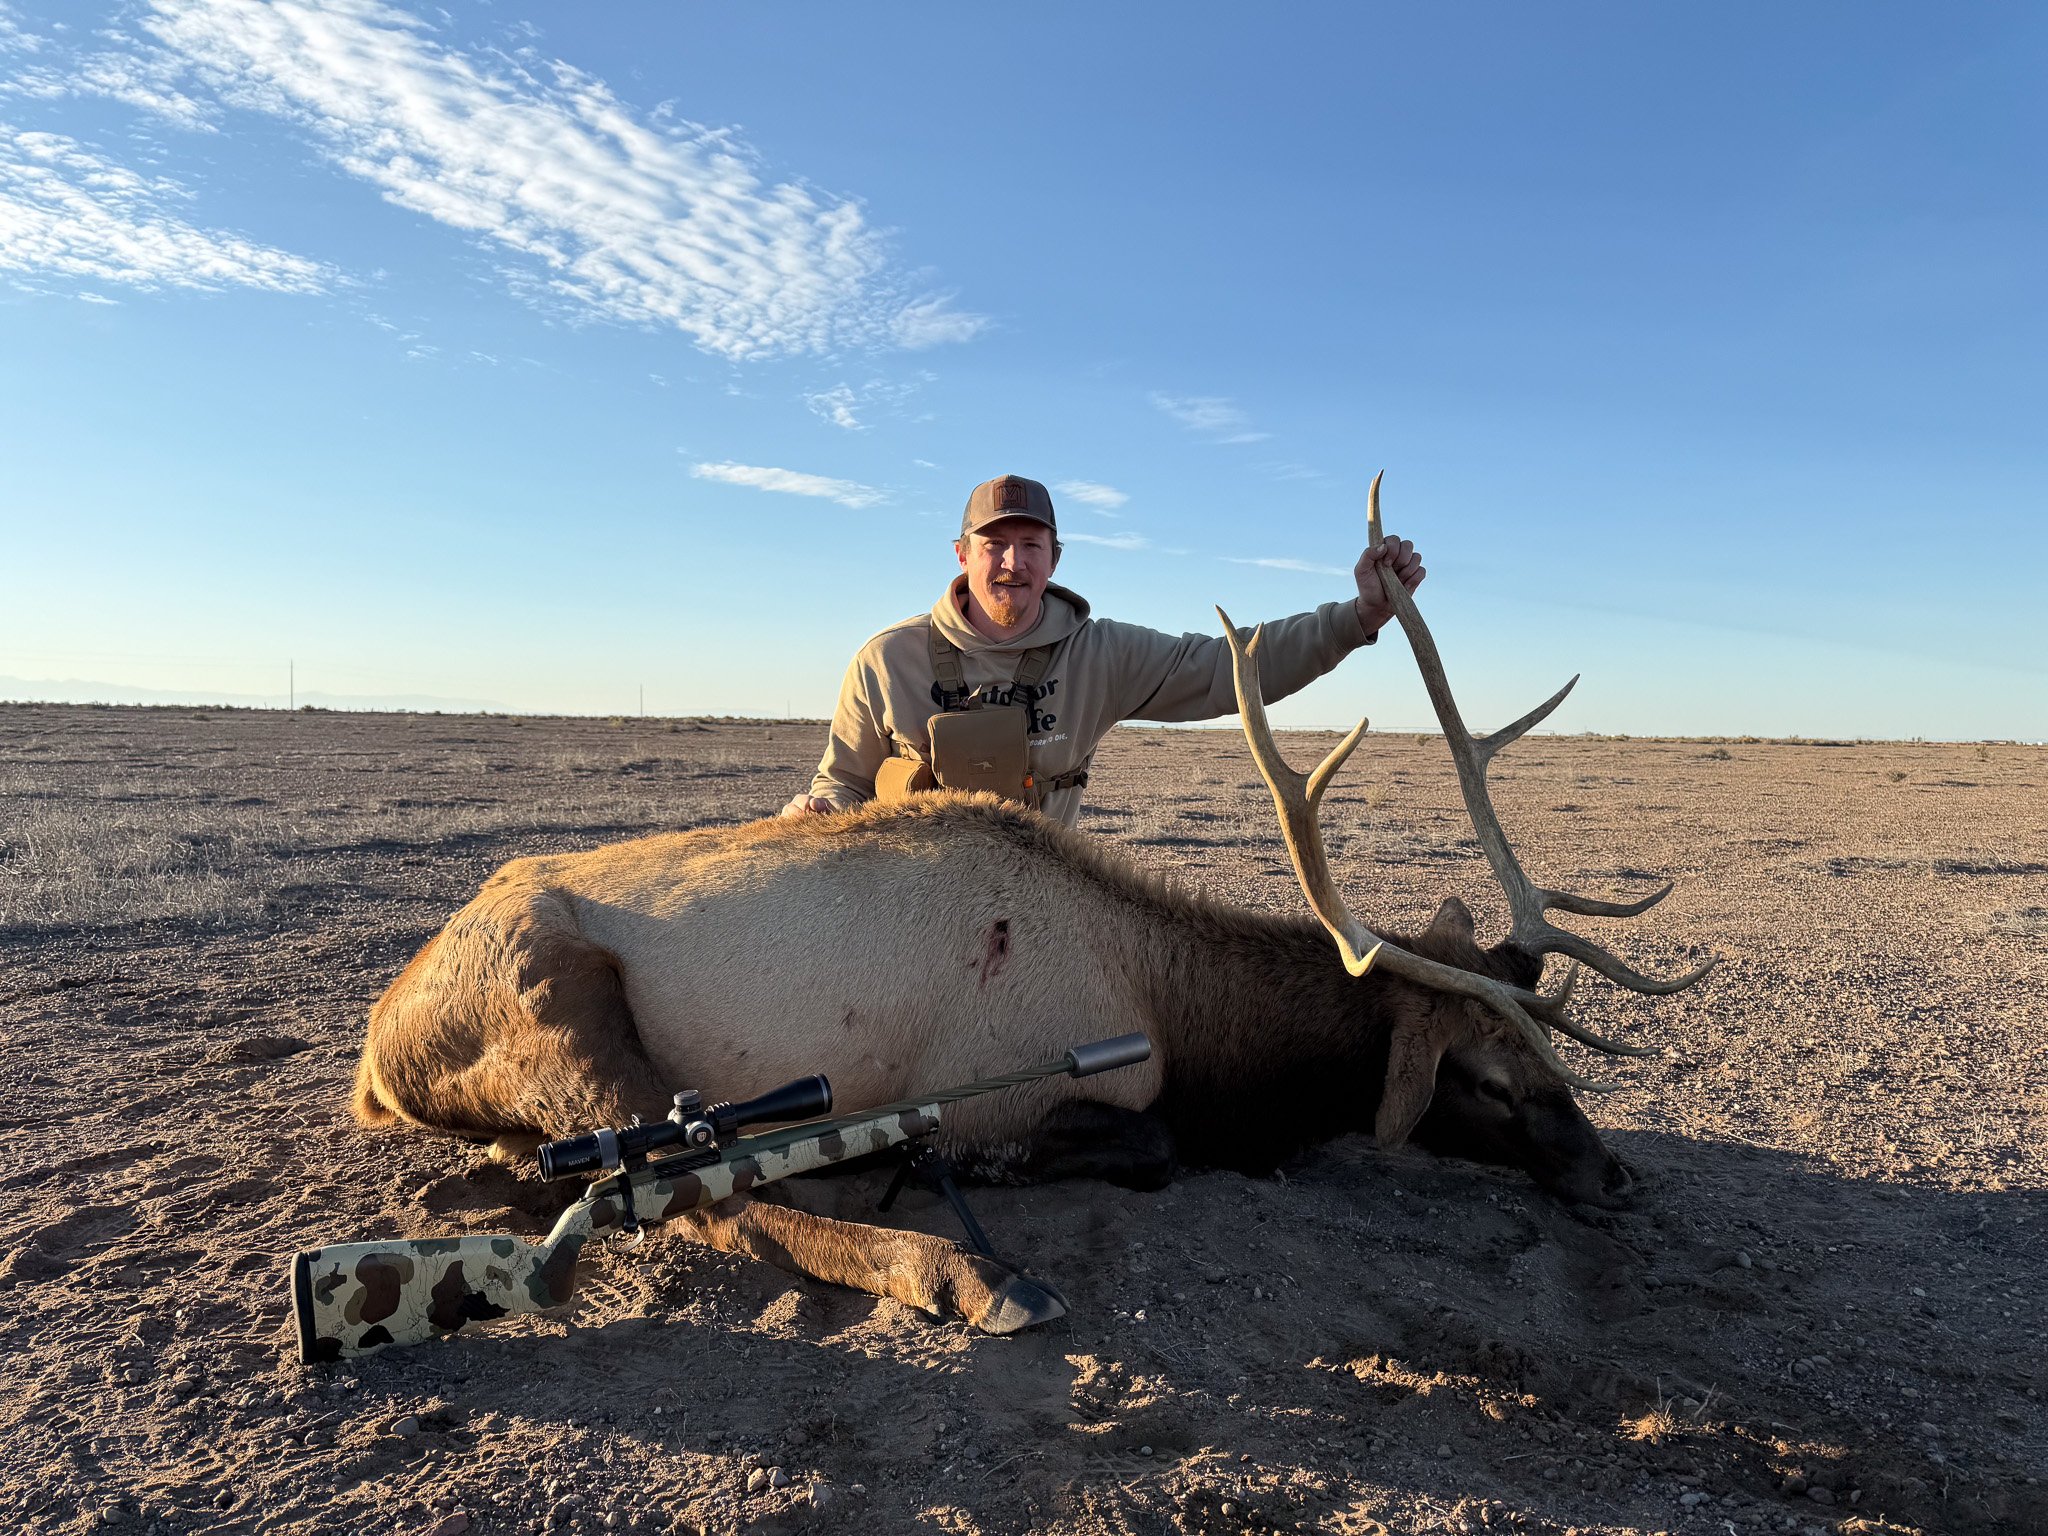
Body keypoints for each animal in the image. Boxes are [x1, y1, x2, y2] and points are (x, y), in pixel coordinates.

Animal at [351, 477, 1714, 1334]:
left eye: (1550, 1056)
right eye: (1481, 1078)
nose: (1612, 1181)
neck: (1189, 1023)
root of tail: (372, 1051)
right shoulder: (1016, 1089)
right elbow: (1143, 1147)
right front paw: (950, 1184)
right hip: (563, 1000)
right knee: (709, 1202)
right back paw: (970, 1277)